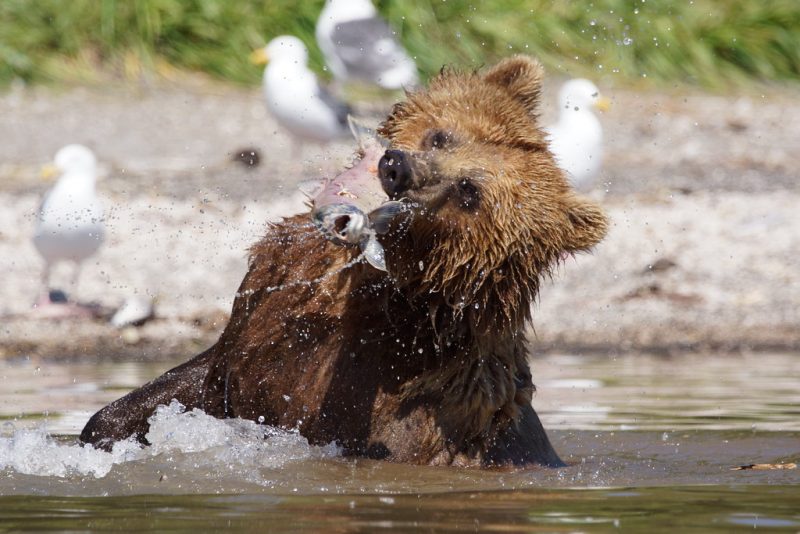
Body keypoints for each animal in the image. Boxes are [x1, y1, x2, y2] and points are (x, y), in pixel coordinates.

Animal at [80, 55, 608, 468]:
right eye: (443, 136)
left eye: (469, 191)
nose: (397, 169)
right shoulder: (265, 312)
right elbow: (197, 378)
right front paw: (104, 430)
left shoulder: (375, 385)